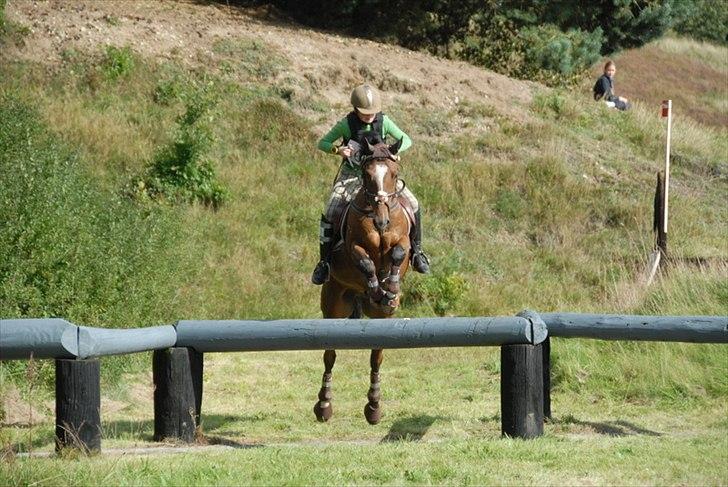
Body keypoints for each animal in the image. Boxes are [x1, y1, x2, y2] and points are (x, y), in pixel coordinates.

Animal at [314, 138, 411, 425]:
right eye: (367, 176)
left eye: (393, 174)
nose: (382, 221)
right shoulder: (353, 247)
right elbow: (366, 263)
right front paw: (376, 287)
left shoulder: (404, 241)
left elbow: (399, 252)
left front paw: (390, 288)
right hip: (333, 306)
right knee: (330, 355)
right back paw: (324, 405)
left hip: (381, 320)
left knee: (376, 357)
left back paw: (374, 407)